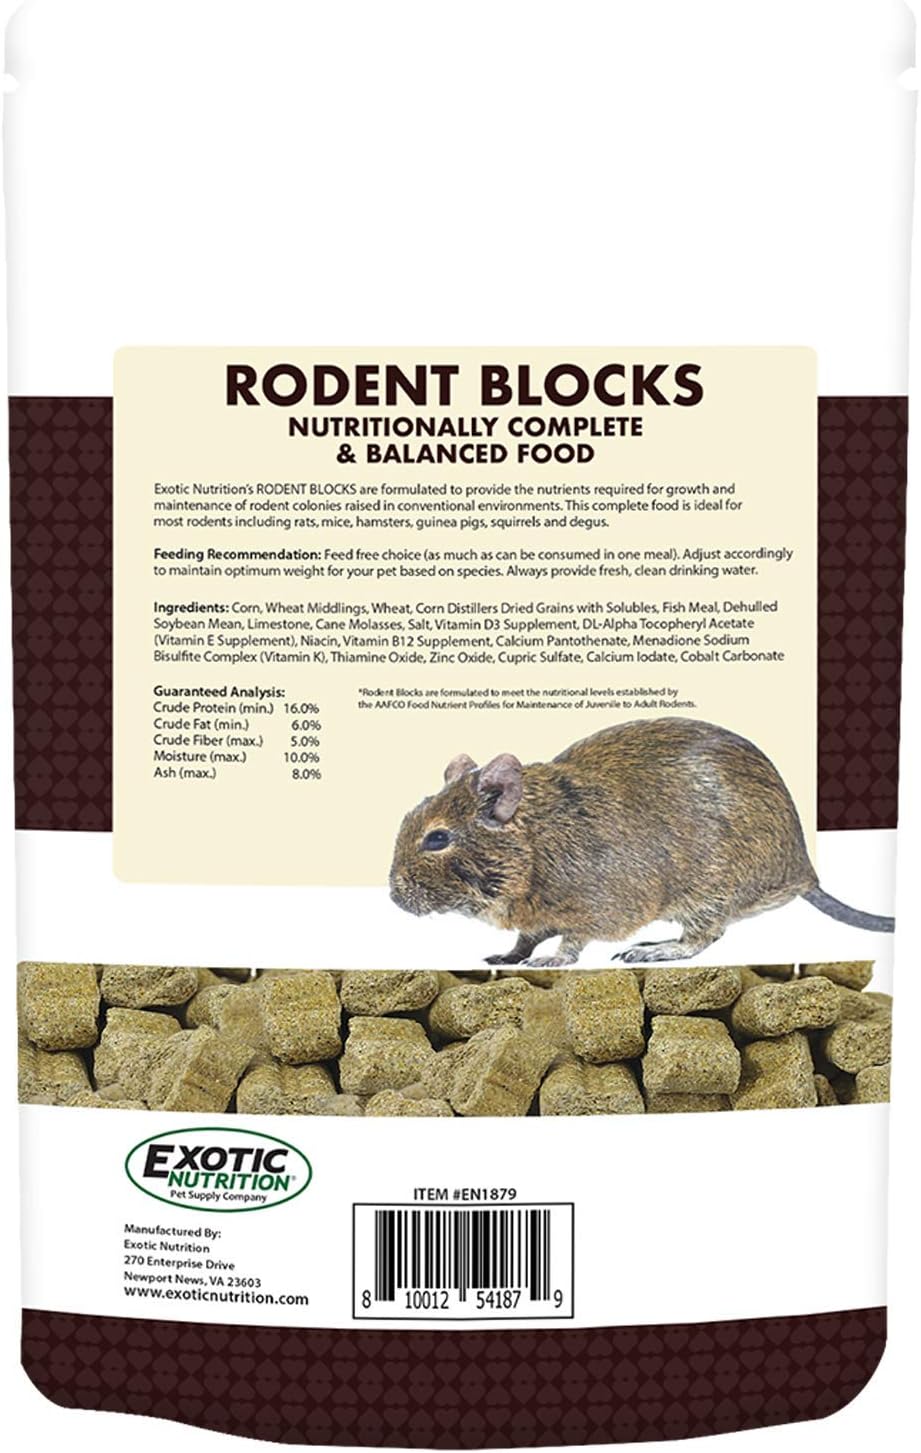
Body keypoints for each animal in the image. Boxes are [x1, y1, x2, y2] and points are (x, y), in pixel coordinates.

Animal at [389, 716, 894, 967]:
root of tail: (804, 873)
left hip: (710, 891)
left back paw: (651, 950)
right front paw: (507, 956)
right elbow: (524, 938)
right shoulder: (536, 917)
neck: (538, 838)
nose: (394, 897)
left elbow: (571, 942)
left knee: (705, 937)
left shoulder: (593, 907)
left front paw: (551, 962)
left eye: (437, 838)